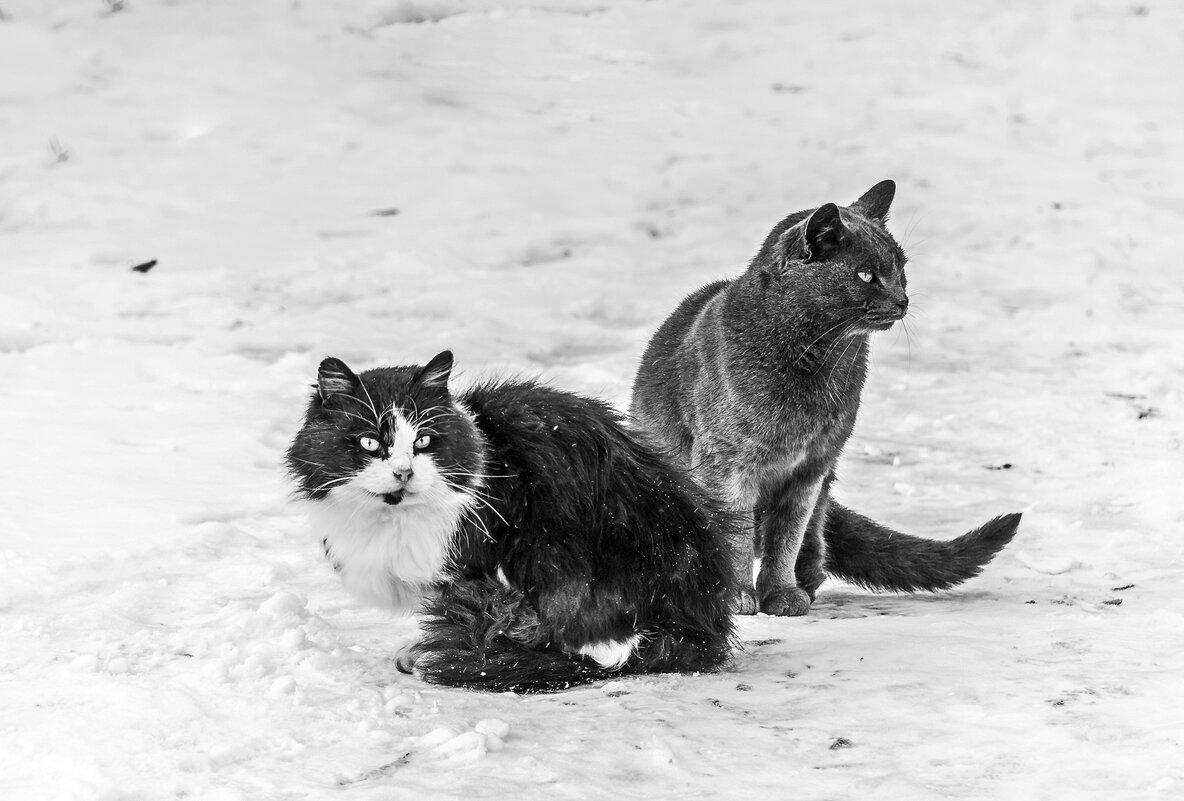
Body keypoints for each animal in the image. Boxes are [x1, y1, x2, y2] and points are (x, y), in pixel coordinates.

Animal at [285, 350, 734, 695]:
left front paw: (422, 651)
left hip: (554, 546)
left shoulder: (473, 562)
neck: (392, 518)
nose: (404, 472)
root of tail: (701, 621)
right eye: (369, 442)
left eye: (423, 442)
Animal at [629, 181, 1018, 615]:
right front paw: (736, 597)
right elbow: (736, 536)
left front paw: (781, 594)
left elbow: (786, 536)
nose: (903, 300)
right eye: (865, 275)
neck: (823, 361)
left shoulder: (811, 469)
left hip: (826, 484)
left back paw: (805, 582)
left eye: (901, 269)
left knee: (813, 536)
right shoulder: (727, 468)